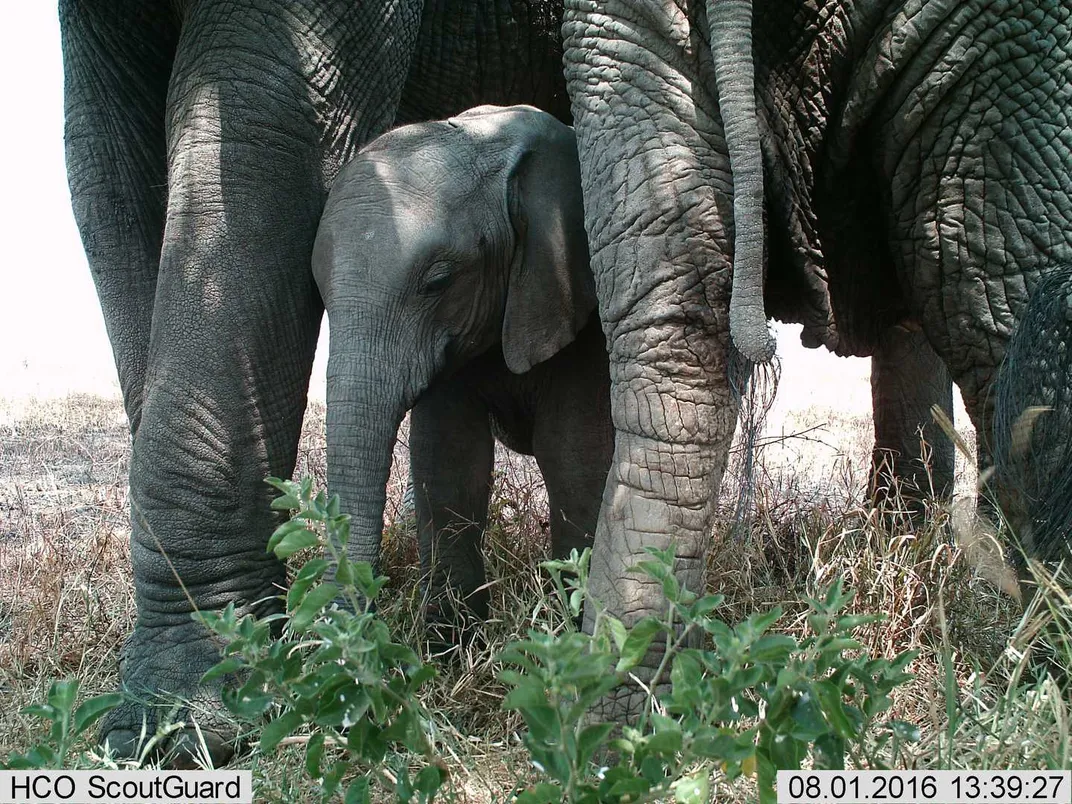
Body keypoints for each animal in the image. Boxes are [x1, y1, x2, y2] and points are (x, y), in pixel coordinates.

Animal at [310, 105, 613, 634]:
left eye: (439, 280)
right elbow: (447, 457)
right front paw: (447, 640)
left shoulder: (581, 301)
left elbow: (574, 455)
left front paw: (575, 634)